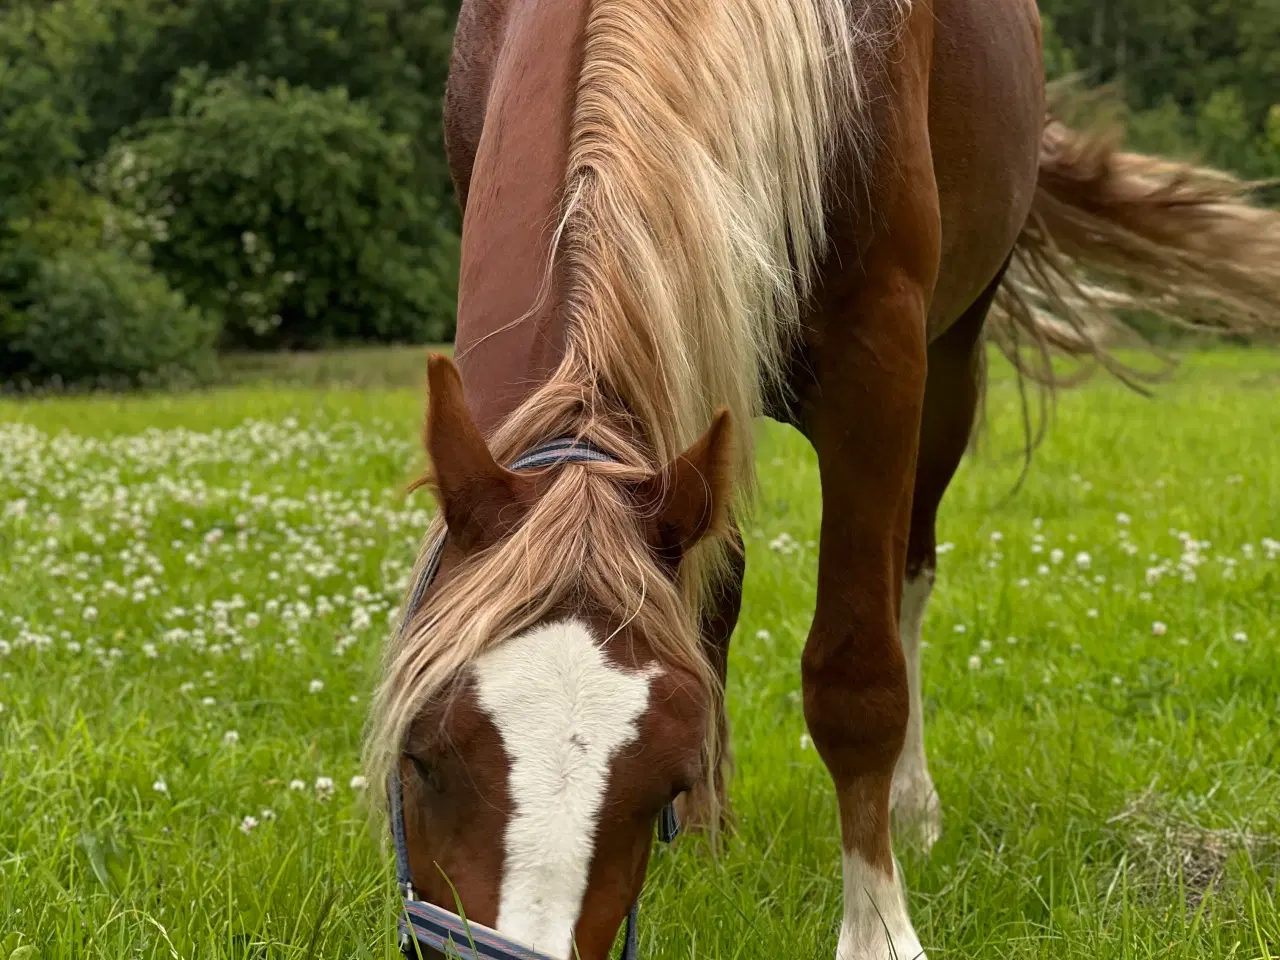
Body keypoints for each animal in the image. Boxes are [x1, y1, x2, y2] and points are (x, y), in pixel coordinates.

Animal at [363, 0, 1280, 957]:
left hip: (949, 369)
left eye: (659, 778)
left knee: (909, 576)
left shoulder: (880, 364)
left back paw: (911, 805)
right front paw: (707, 838)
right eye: (419, 753)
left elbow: (856, 673)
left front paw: (878, 926)